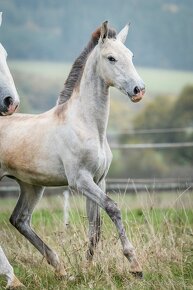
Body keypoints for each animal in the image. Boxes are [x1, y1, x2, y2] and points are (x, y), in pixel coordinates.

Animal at [0, 21, 145, 282]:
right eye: (111, 58)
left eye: (130, 55)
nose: (139, 90)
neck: (87, 124)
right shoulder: (80, 180)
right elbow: (113, 208)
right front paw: (135, 265)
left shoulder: (99, 180)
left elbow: (95, 227)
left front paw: (86, 269)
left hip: (31, 186)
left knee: (19, 220)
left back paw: (61, 269)